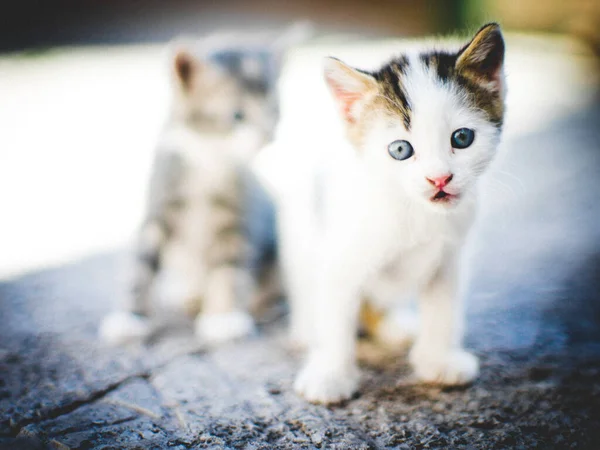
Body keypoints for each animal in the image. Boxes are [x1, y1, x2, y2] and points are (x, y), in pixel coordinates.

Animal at [99, 26, 310, 346]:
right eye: (237, 115)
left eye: (275, 111)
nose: (268, 138)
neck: (209, 156)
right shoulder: (157, 207)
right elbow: (140, 265)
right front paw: (130, 317)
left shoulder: (237, 215)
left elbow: (228, 265)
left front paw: (223, 318)